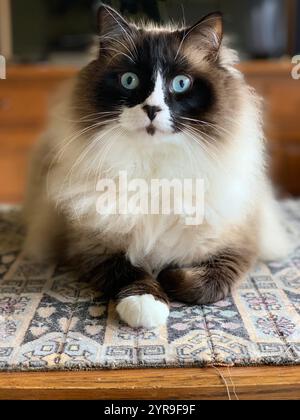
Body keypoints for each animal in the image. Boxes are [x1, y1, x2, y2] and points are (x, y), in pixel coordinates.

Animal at [24, 4, 290, 330]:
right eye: (129, 81)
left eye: (181, 84)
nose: (151, 109)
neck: (156, 172)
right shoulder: (92, 246)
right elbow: (131, 273)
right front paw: (146, 308)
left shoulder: (237, 246)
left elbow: (202, 285)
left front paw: (167, 275)